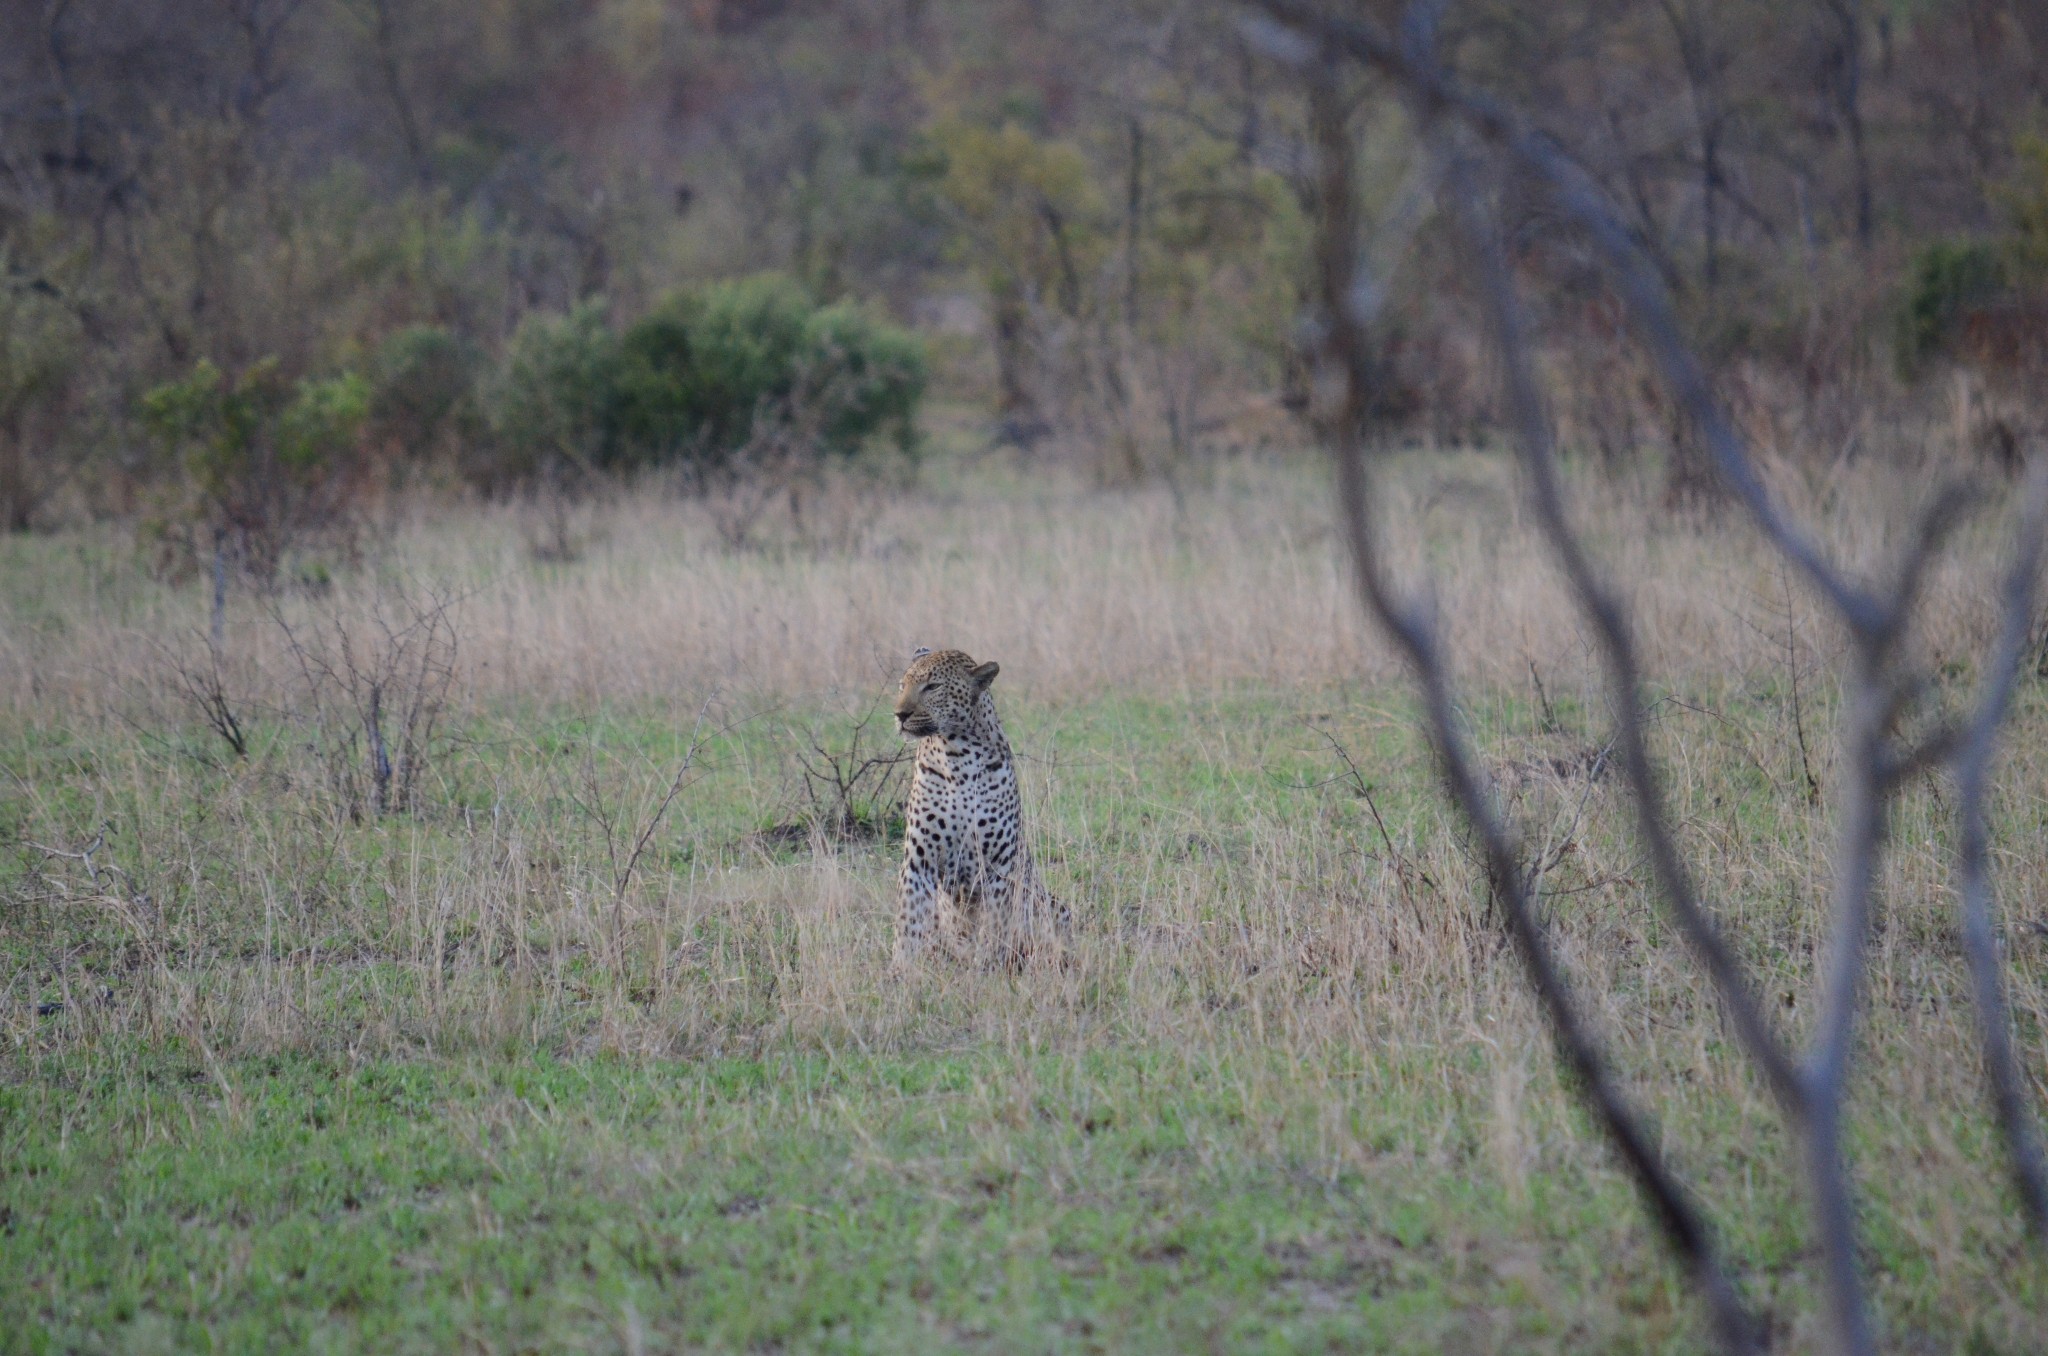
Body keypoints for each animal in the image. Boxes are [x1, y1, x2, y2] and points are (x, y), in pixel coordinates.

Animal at [888, 647, 1073, 966]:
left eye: (932, 687)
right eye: (902, 686)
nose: (900, 715)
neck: (955, 754)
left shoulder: (999, 864)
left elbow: (996, 924)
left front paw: (989, 965)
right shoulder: (918, 859)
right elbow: (909, 919)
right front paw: (901, 969)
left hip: (1055, 905)